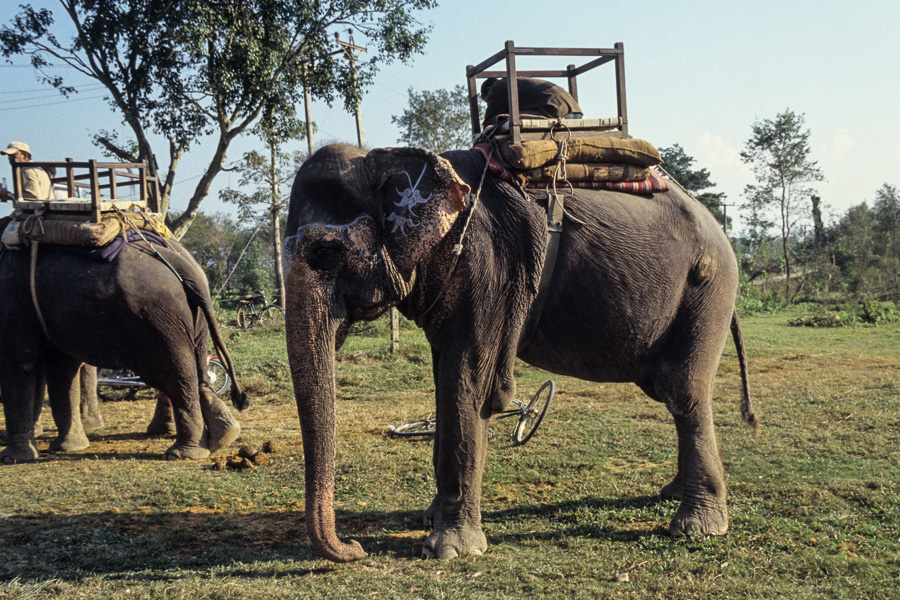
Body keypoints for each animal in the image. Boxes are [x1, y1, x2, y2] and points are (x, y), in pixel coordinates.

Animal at [0, 231, 248, 464]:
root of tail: (183, 264)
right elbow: (59, 368)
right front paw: (67, 447)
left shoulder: (14, 303)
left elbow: (21, 365)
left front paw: (12, 458)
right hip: (190, 320)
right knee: (196, 373)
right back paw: (224, 436)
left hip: (157, 321)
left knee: (174, 376)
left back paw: (182, 453)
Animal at [284, 142, 760, 564]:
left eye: (324, 251)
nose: (355, 548)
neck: (385, 157)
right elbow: (445, 382)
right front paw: (432, 519)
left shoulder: (487, 268)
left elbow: (467, 383)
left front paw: (448, 550)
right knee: (668, 391)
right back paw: (673, 493)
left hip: (707, 287)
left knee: (682, 390)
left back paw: (696, 527)